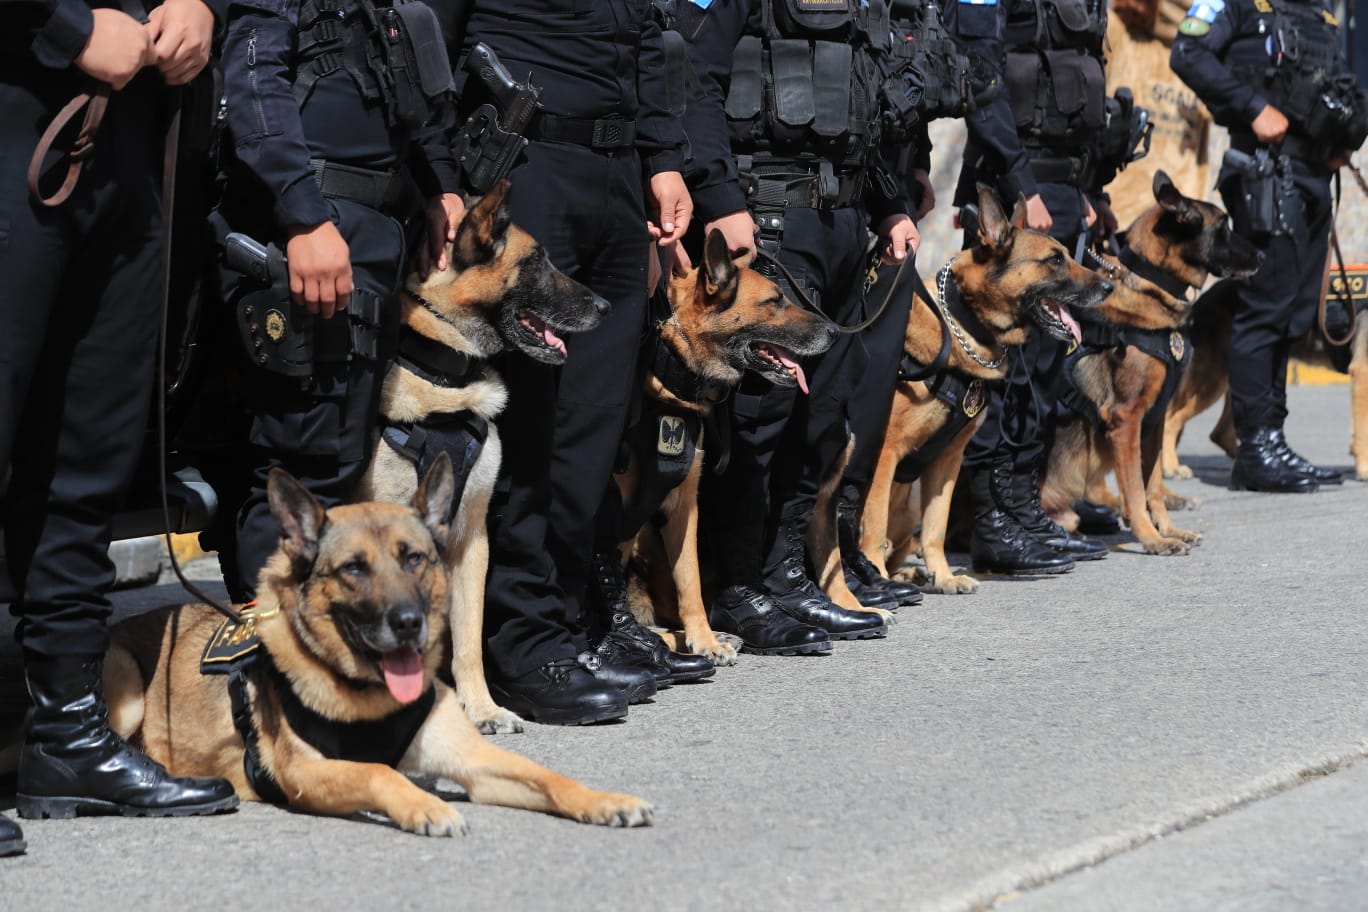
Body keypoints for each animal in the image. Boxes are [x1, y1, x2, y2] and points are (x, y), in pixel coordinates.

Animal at [96, 459, 651, 836]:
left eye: (414, 559)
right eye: (354, 569)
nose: (408, 623)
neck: (372, 695)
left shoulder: (472, 760)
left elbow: (548, 775)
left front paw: (605, 800)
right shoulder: (307, 772)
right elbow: (381, 772)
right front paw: (426, 805)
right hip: (127, 686)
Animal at [358, 183, 604, 732]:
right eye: (535, 261)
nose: (604, 304)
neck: (446, 377)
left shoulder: (470, 537)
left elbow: (468, 638)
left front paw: (483, 707)